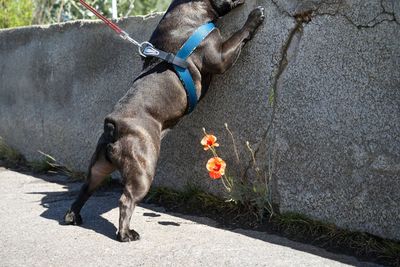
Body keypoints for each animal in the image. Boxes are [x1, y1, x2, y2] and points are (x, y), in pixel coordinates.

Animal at [65, 0, 266, 243]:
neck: (191, 8)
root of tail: (113, 126)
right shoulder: (219, 56)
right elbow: (239, 36)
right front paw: (255, 17)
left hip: (99, 167)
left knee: (86, 187)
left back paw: (73, 216)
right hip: (143, 169)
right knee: (126, 200)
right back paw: (126, 233)